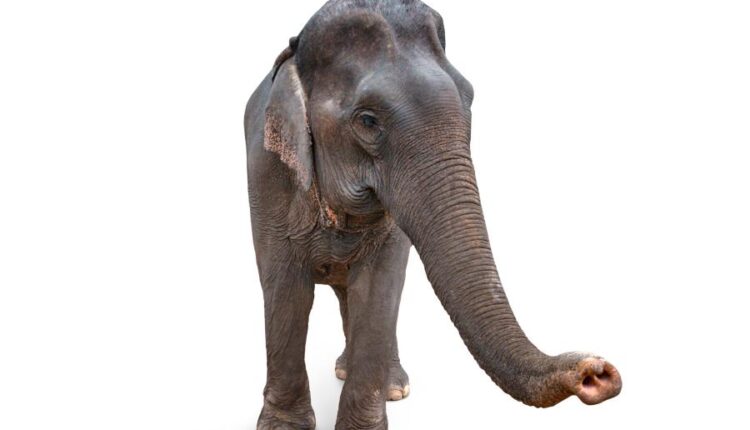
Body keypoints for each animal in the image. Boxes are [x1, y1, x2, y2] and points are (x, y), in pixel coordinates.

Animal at [244, 0, 622, 428]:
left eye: (469, 99)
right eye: (368, 121)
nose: (597, 373)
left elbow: (378, 289)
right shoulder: (267, 177)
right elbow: (285, 289)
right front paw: (282, 426)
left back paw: (391, 387)